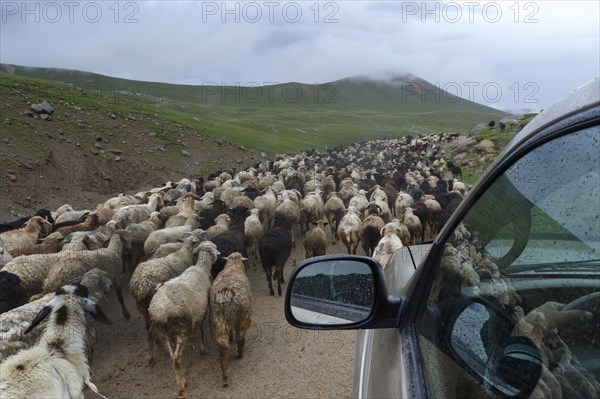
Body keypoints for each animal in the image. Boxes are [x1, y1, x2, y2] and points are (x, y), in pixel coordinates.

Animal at [148, 239, 220, 398]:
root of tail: (160, 311)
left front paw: (192, 343)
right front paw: (202, 348)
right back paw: (181, 387)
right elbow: (201, 330)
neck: (201, 268)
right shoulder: (202, 312)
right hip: (181, 327)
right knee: (176, 358)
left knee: (172, 356)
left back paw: (181, 378)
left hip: (163, 332)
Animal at [210, 253, 252, 388]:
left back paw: (225, 377)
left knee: (223, 347)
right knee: (240, 338)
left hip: (218, 322)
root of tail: (226, 296)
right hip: (243, 317)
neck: (233, 267)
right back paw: (240, 354)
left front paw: (230, 338)